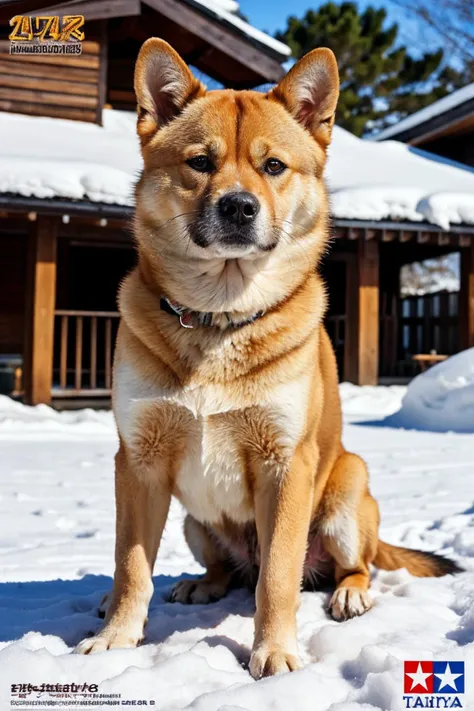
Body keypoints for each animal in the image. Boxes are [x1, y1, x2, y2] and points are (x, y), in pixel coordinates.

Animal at [76, 39, 462, 680]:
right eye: (200, 162)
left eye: (274, 166)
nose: (238, 207)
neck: (218, 319)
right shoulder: (137, 462)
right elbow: (131, 566)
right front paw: (116, 636)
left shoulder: (286, 465)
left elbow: (278, 577)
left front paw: (275, 651)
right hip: (195, 522)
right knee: (227, 571)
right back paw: (199, 584)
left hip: (346, 490)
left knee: (347, 566)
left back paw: (348, 593)